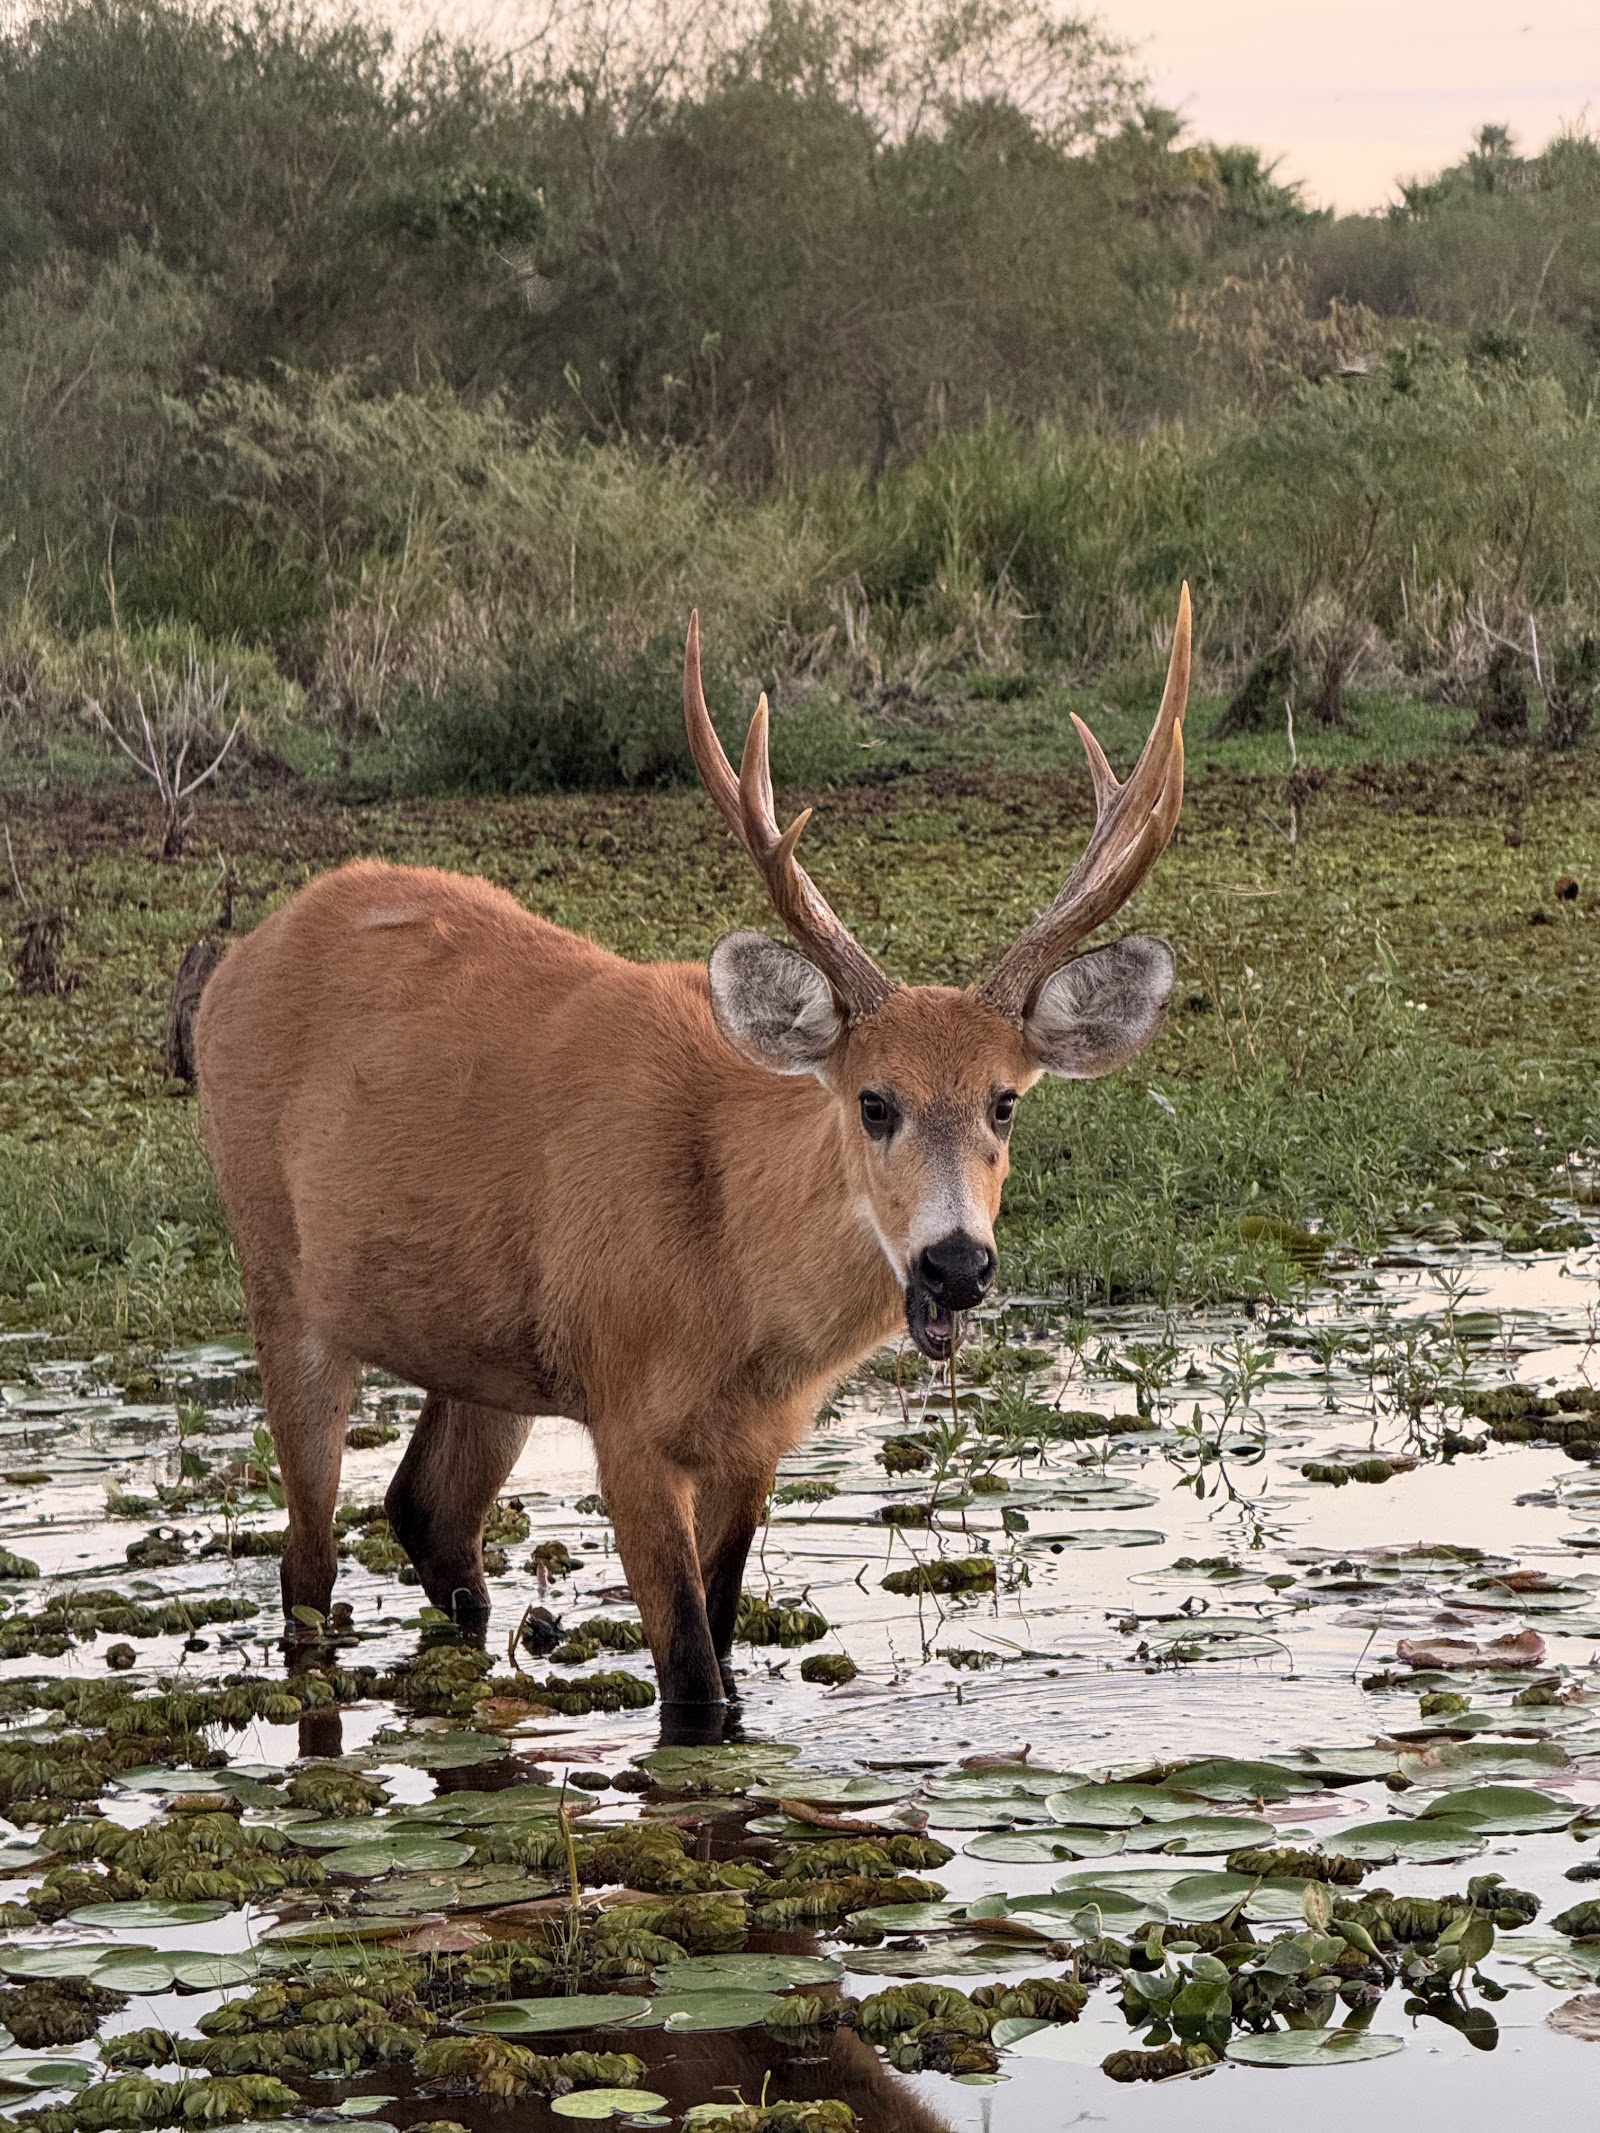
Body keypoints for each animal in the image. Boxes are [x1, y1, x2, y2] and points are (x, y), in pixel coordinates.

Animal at [192, 589, 1190, 1728]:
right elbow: (691, 1687)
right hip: (280, 1278)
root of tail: (230, 969)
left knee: (425, 1511)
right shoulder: (624, 1414)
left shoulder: (755, 1445)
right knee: (306, 1567)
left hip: (484, 1351)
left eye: (1006, 1101)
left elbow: (723, 1654)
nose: (955, 1264)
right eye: (873, 1101)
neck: (730, 1281)